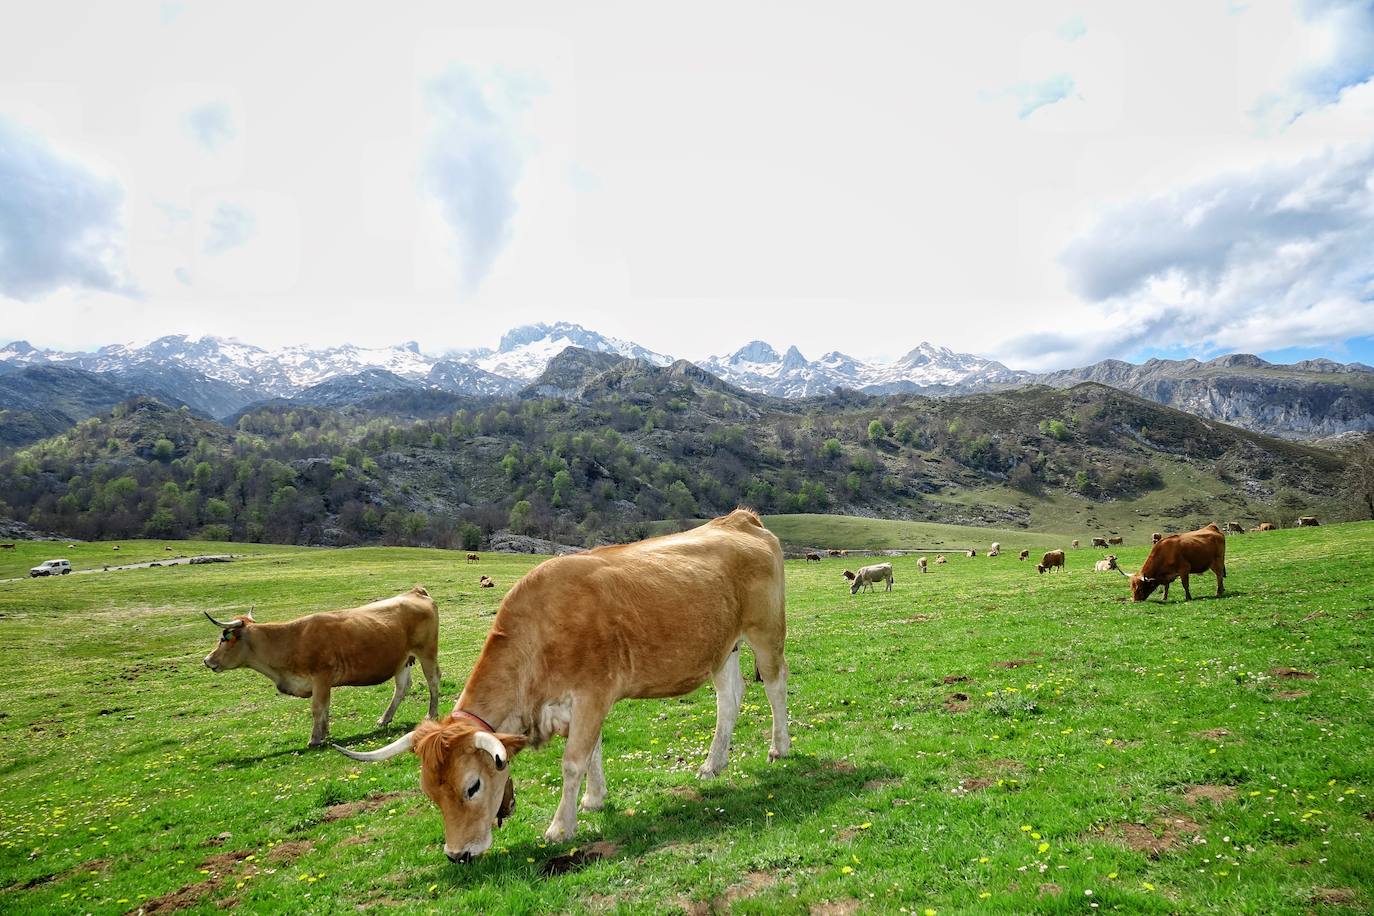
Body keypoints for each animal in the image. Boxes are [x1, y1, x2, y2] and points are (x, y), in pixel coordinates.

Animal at [199, 587, 439, 747]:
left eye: (223, 639)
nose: (207, 660)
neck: (291, 639)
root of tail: (415, 592)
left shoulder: (321, 677)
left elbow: (317, 707)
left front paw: (315, 738)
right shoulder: (323, 682)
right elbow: (325, 707)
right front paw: (325, 732)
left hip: (427, 653)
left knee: (433, 680)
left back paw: (431, 715)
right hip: (403, 660)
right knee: (401, 688)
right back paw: (384, 718)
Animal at [333, 508, 791, 862]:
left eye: (472, 786)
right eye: (430, 792)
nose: (457, 854)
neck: (540, 633)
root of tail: (739, 519)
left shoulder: (592, 694)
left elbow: (573, 761)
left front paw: (560, 826)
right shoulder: (578, 704)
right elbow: (592, 752)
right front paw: (594, 800)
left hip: (766, 631)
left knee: (775, 685)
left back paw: (779, 747)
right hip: (722, 647)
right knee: (729, 700)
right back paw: (713, 764)